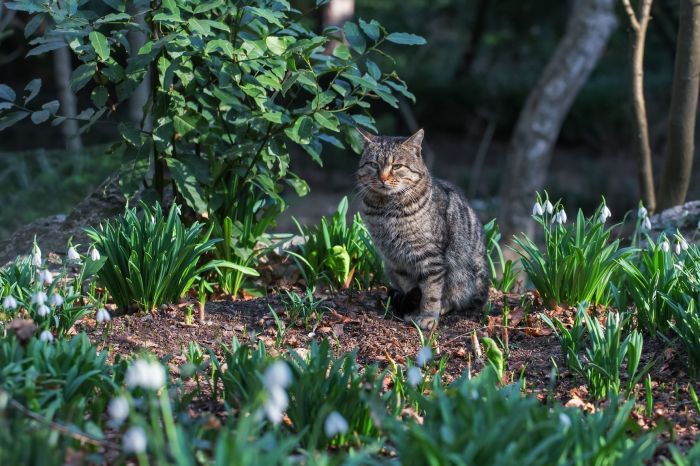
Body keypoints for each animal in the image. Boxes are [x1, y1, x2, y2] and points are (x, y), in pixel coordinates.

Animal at [356, 129, 486, 330]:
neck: (385, 211)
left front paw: (427, 317)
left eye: (397, 166)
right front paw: (413, 309)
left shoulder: (429, 257)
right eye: (373, 164)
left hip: (466, 273)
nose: (383, 178)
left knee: (460, 299)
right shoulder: (395, 259)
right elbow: (411, 287)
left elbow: (431, 291)